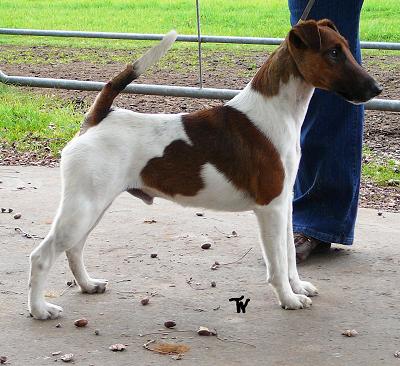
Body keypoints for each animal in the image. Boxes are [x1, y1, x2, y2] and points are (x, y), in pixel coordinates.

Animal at [27, 19, 382, 320]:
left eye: (345, 47)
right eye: (333, 52)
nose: (376, 89)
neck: (275, 112)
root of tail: (99, 117)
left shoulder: (285, 207)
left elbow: (290, 256)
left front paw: (298, 288)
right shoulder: (270, 209)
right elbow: (278, 264)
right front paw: (288, 299)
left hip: (94, 206)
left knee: (74, 249)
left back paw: (88, 285)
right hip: (83, 208)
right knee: (42, 256)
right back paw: (40, 310)